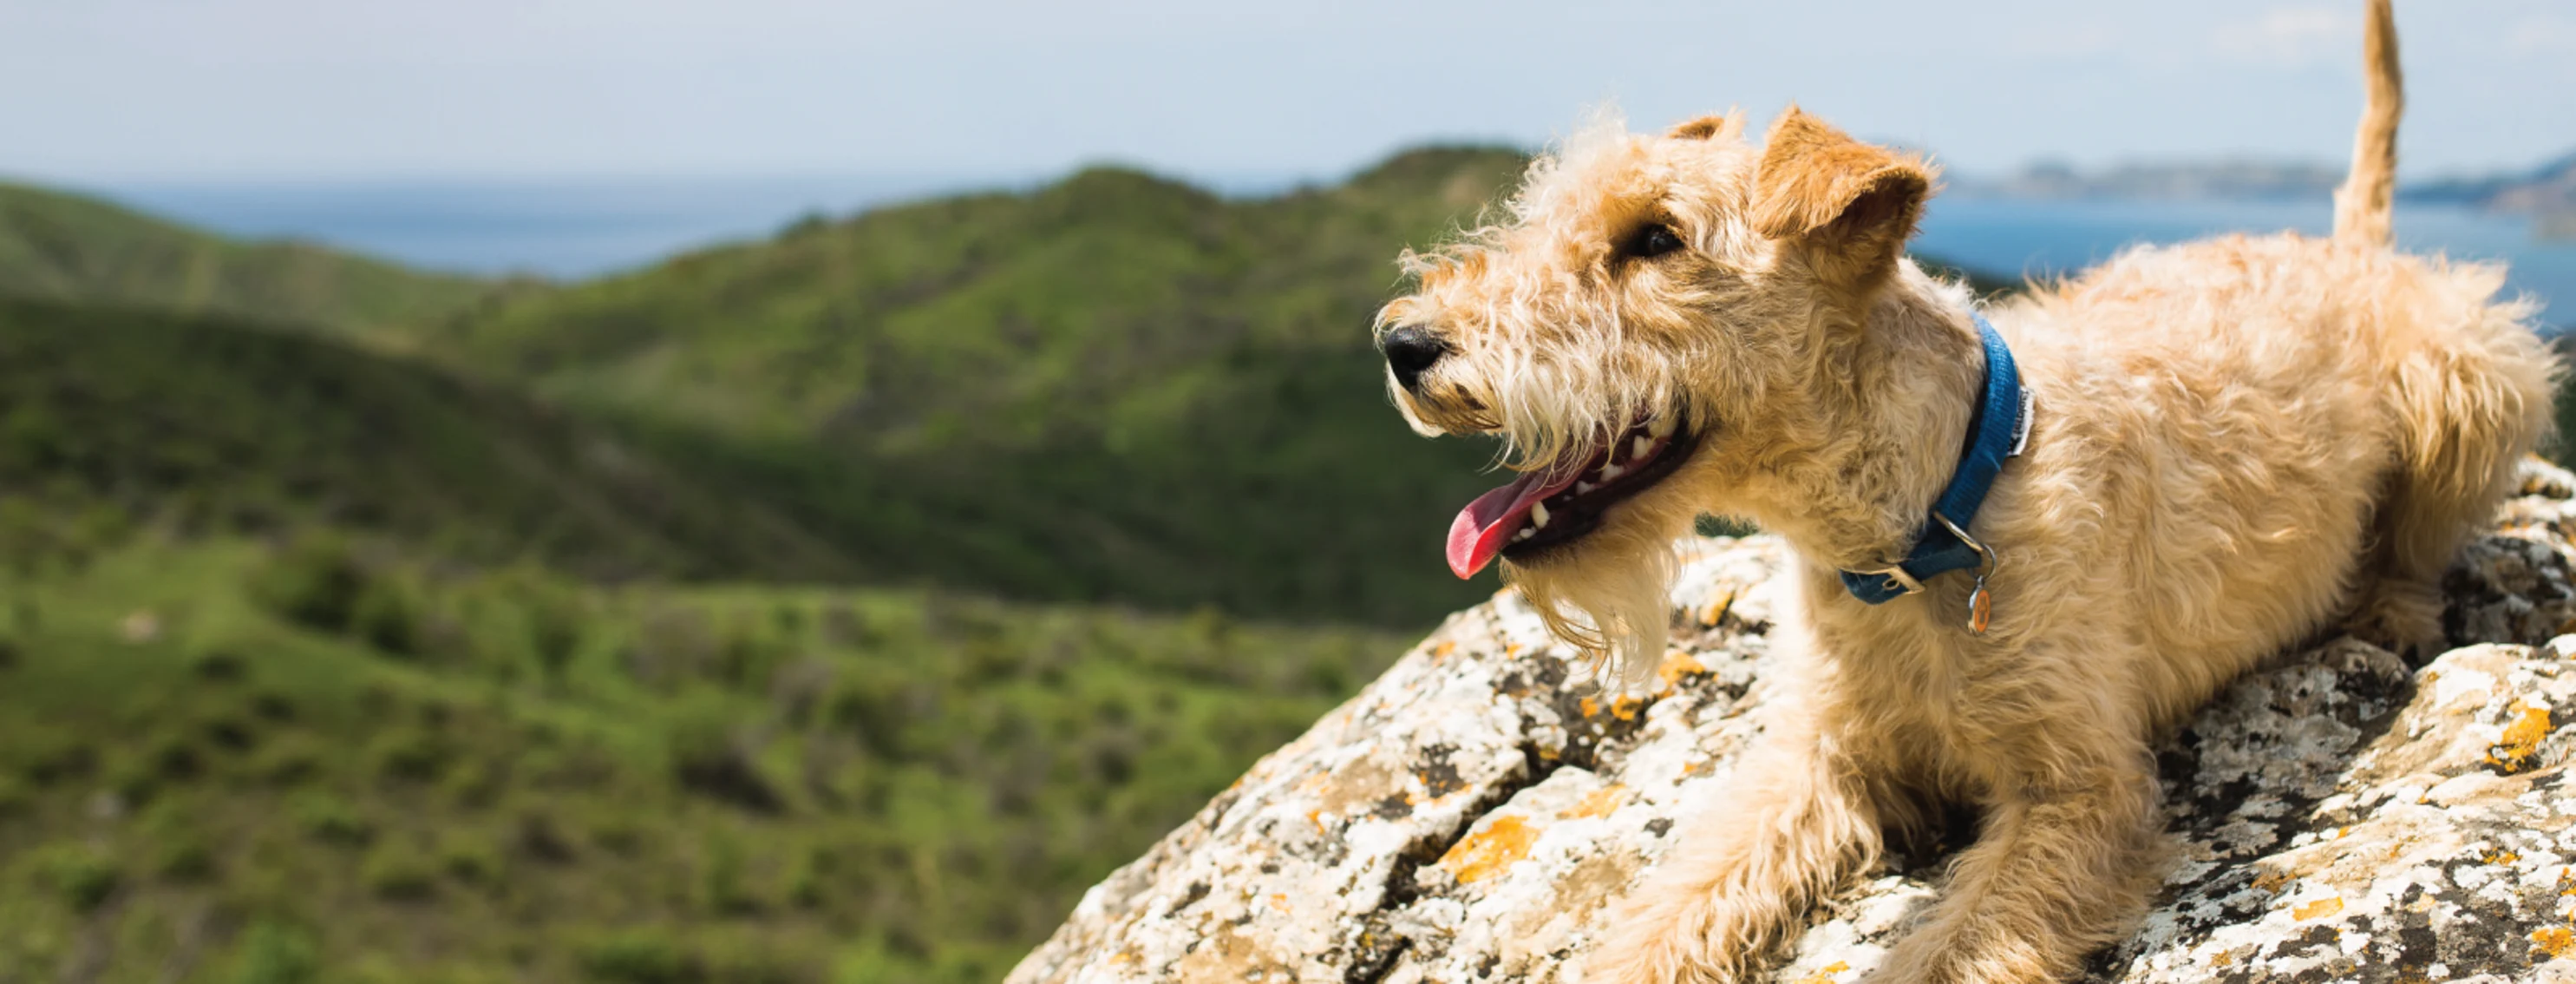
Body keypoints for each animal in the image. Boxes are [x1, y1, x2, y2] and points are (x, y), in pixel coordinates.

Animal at [1370, 3, 2555, 979]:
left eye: (1655, 239)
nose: (1403, 344)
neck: (1919, 523)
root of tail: (2351, 251)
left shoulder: (2079, 790)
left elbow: (1949, 949)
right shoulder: (1820, 758)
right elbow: (1678, 903)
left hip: (2475, 374)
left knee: (2425, 542)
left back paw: (2389, 609)